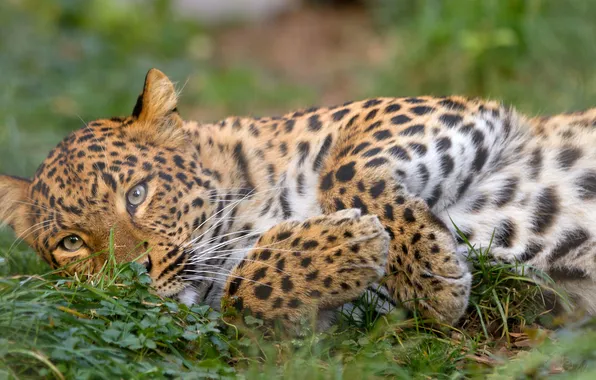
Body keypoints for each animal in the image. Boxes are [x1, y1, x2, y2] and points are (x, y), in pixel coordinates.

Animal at [1, 68, 596, 330]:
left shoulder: (443, 113)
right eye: (71, 244)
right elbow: (243, 291)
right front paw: (348, 243)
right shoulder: (361, 311)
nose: (132, 276)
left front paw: (432, 276)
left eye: (138, 193)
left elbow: (344, 168)